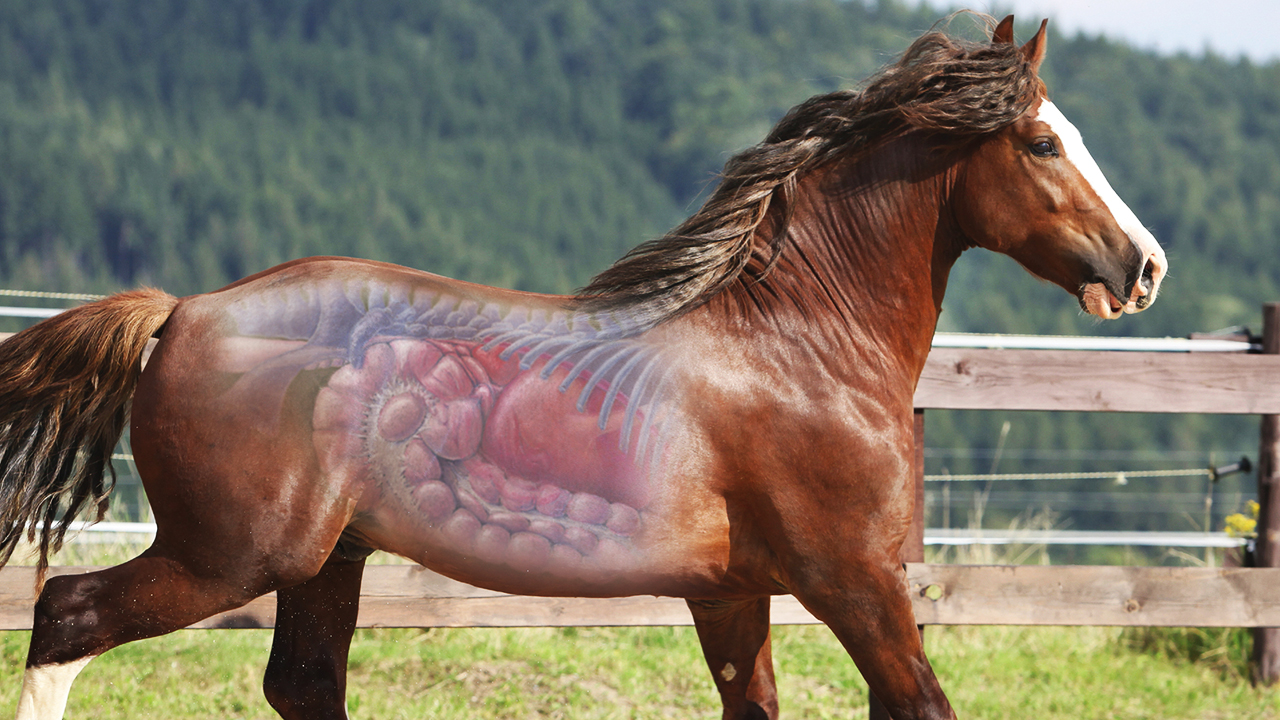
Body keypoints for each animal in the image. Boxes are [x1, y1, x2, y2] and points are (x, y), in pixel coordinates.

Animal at [0, 15, 1165, 720]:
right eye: (1044, 145)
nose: (1142, 265)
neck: (796, 348)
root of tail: (182, 312)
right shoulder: (856, 581)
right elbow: (921, 702)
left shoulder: (733, 594)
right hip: (232, 552)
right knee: (66, 617)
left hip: (327, 560)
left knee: (302, 684)